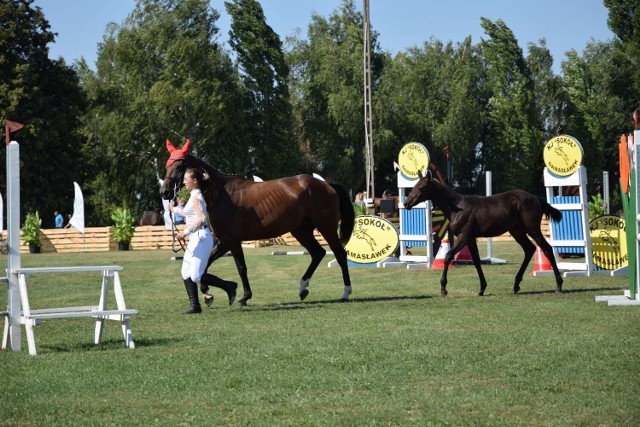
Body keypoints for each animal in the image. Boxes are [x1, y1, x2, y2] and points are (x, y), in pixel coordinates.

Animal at [158, 142, 352, 306]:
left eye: (179, 166)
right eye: (167, 165)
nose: (164, 192)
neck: (221, 195)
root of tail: (327, 184)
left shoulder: (228, 241)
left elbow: (222, 267)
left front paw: (230, 295)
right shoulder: (229, 242)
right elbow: (233, 267)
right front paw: (217, 294)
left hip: (326, 228)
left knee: (339, 254)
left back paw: (345, 292)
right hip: (301, 231)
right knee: (318, 253)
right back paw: (303, 288)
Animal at [408, 173, 564, 298]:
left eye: (421, 187)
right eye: (415, 185)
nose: (407, 202)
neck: (458, 208)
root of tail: (536, 198)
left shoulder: (464, 236)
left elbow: (448, 256)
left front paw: (443, 289)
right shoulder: (470, 238)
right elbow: (476, 261)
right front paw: (482, 288)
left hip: (533, 230)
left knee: (547, 249)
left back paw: (558, 285)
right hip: (517, 231)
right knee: (529, 249)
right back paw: (516, 284)